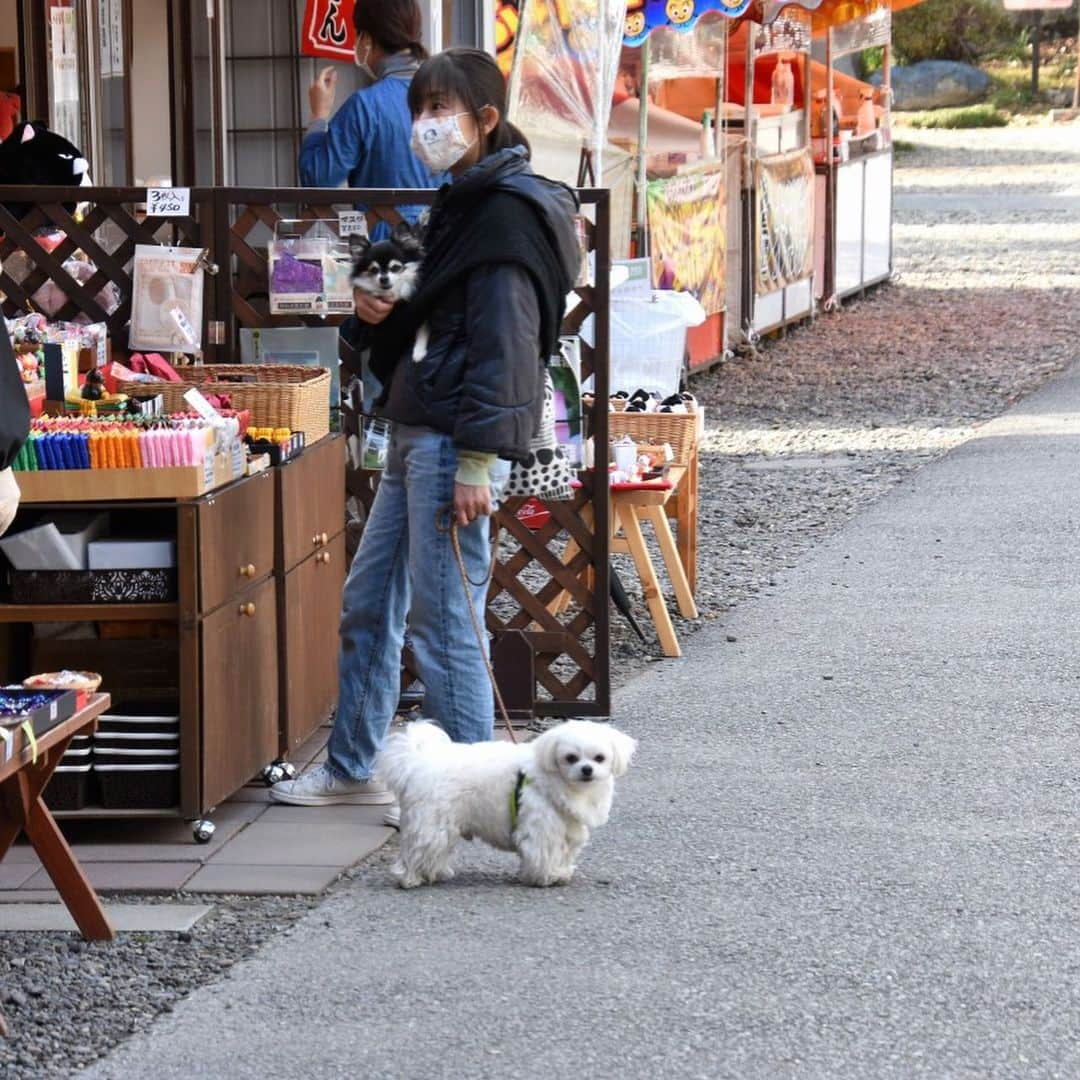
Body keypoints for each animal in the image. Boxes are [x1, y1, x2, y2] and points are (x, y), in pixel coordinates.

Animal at [375, 721, 635, 889]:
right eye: (571, 758)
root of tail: (418, 763)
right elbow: (544, 852)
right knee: (418, 850)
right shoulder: (542, 827)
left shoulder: (567, 828)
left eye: (599, 758)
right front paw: (545, 877)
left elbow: (562, 853)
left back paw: (435, 873)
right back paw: (409, 879)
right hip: (431, 823)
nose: (587, 769)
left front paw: (560, 873)